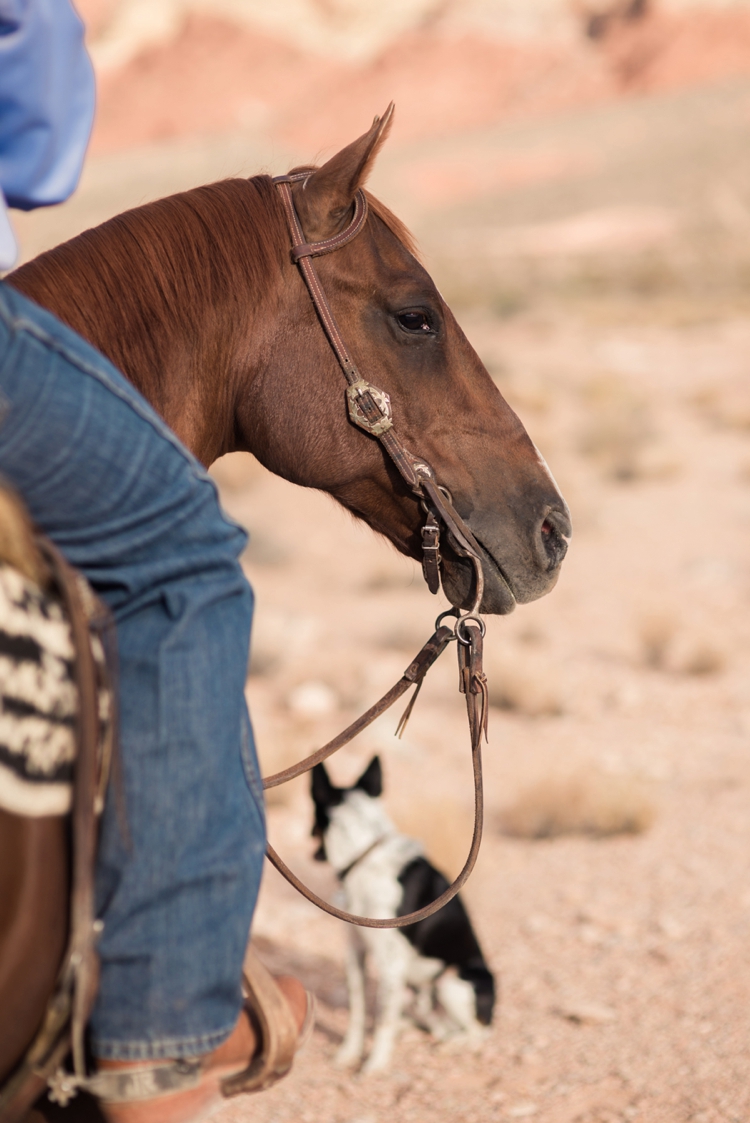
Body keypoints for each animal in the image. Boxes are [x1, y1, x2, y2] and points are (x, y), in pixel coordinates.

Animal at [312, 754, 494, 1069]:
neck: (368, 857)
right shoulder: (355, 953)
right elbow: (358, 1010)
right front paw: (348, 1054)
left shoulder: (391, 963)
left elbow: (382, 1020)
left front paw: (375, 1066)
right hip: (417, 989)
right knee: (431, 1020)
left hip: (450, 982)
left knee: (477, 1032)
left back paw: (453, 1044)